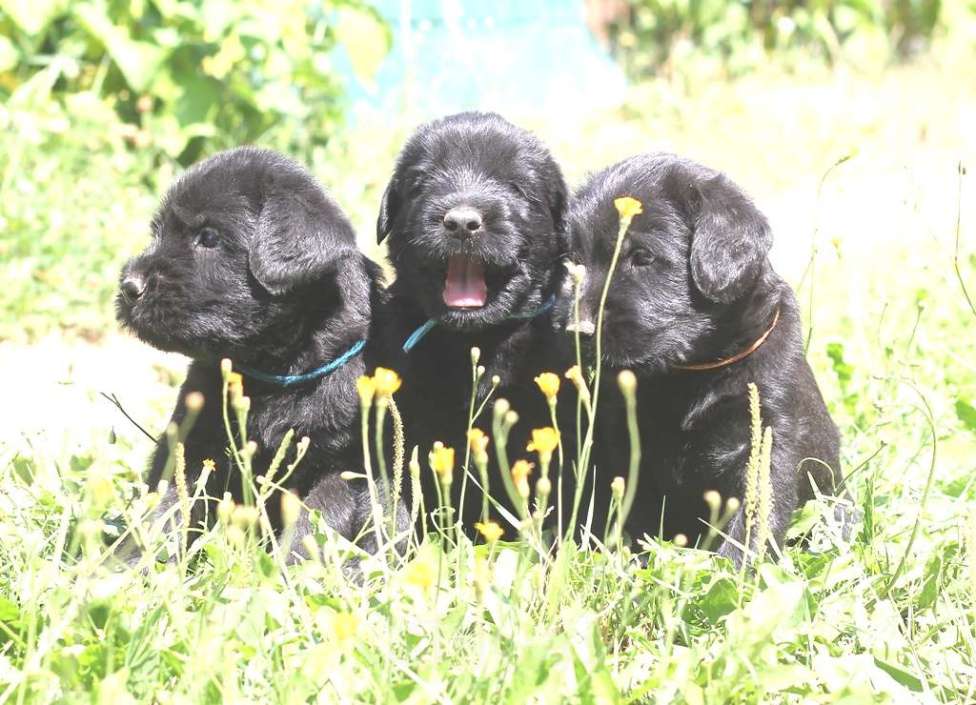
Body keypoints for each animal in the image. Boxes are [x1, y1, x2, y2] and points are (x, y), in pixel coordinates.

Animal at [119, 147, 404, 560]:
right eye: (157, 232)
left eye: (208, 237)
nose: (129, 286)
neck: (275, 371)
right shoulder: (194, 440)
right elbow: (168, 504)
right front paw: (132, 564)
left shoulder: (342, 464)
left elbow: (316, 518)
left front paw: (291, 568)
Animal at [560, 154, 844, 560]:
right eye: (576, 261)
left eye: (641, 257)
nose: (577, 332)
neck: (693, 370)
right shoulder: (627, 445)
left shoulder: (768, 434)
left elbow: (753, 517)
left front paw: (737, 568)